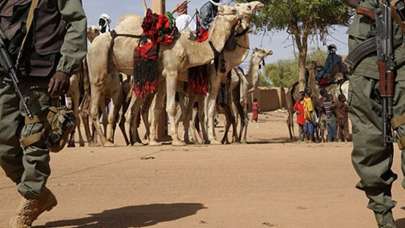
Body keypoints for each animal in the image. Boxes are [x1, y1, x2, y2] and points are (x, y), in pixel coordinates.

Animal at [88, 4, 243, 146]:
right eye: (233, 9)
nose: (244, 13)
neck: (188, 48)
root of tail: (93, 45)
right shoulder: (172, 71)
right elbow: (172, 108)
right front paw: (177, 140)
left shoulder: (162, 77)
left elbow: (158, 109)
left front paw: (154, 141)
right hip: (98, 64)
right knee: (95, 107)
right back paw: (106, 142)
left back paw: (132, 141)